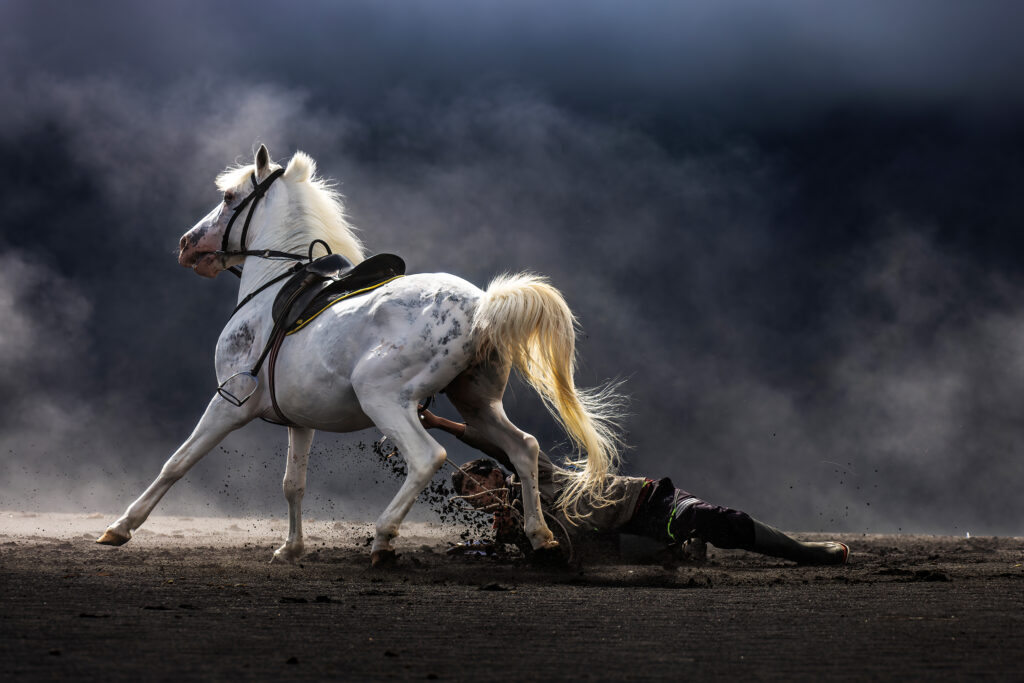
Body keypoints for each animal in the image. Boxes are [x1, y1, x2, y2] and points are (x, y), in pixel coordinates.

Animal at [97, 144, 623, 565]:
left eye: (228, 198)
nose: (187, 244)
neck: (270, 290)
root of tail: (481, 306)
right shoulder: (299, 421)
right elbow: (293, 484)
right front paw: (290, 548)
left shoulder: (229, 403)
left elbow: (177, 463)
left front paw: (120, 528)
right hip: (477, 405)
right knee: (524, 449)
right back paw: (541, 538)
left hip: (385, 399)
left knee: (428, 457)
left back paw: (384, 539)